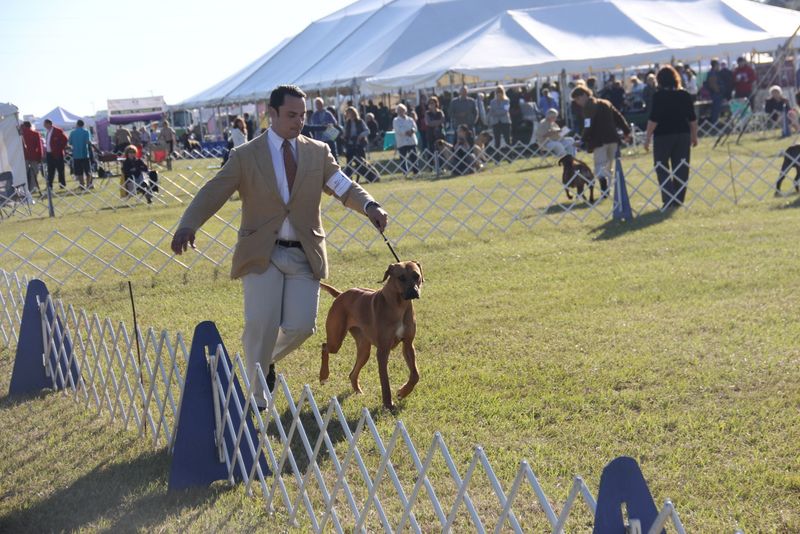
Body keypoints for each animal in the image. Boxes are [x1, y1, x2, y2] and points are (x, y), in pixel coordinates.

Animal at [318, 262, 422, 412]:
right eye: (401, 277)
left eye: (416, 276)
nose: (414, 291)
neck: (399, 305)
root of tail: (341, 294)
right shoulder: (383, 350)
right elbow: (385, 381)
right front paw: (388, 404)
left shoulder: (408, 344)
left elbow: (415, 375)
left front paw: (403, 392)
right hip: (335, 339)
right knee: (325, 346)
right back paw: (323, 375)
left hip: (364, 348)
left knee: (353, 373)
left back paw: (358, 391)